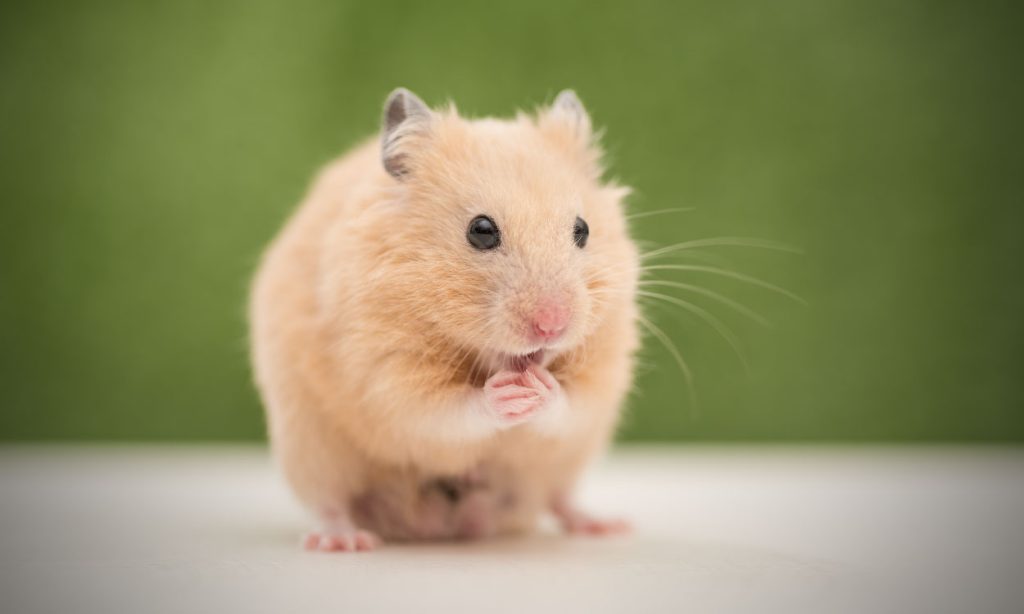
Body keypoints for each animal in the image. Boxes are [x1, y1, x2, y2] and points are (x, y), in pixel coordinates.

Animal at [249, 88, 640, 551]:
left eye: (582, 229)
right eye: (481, 230)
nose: (552, 326)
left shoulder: (604, 372)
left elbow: (572, 403)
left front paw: (539, 389)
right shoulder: (385, 373)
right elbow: (441, 411)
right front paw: (507, 393)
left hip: (566, 462)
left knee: (558, 497)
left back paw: (605, 525)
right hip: (309, 446)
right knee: (329, 501)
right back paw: (344, 540)